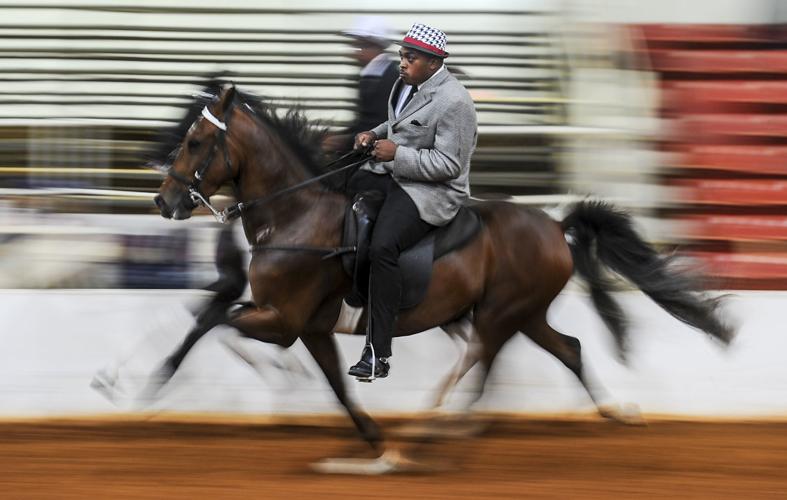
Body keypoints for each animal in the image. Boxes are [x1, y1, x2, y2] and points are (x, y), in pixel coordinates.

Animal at [153, 84, 734, 455]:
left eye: (195, 142)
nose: (163, 200)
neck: (295, 217)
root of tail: (554, 225)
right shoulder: (310, 327)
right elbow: (329, 381)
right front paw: (371, 437)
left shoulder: (285, 321)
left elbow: (218, 322)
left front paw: (166, 378)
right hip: (521, 314)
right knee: (564, 349)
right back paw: (610, 412)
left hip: (501, 313)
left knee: (480, 363)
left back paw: (436, 427)